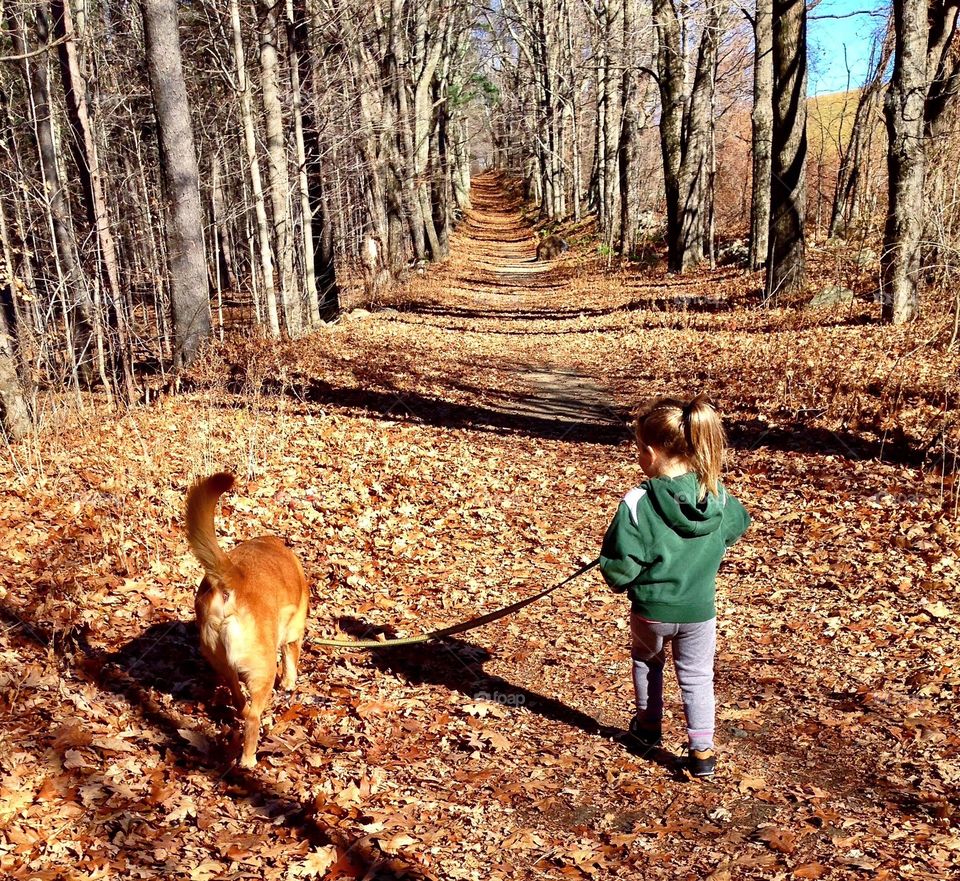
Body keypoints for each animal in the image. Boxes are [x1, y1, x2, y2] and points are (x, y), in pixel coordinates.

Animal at [186, 470, 310, 768]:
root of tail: (232, 579)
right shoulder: (293, 633)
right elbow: (290, 661)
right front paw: (289, 684)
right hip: (262, 670)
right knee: (253, 716)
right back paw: (248, 759)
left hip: (221, 662)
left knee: (238, 696)